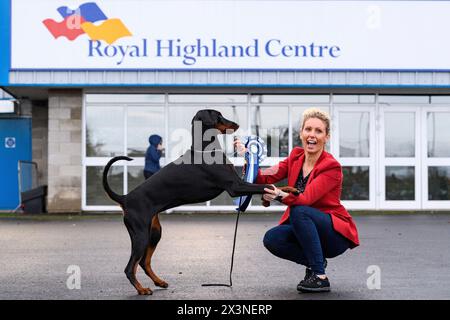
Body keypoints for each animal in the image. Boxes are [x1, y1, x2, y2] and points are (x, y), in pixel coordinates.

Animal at [103, 110, 276, 296]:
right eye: (218, 115)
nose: (236, 124)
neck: (206, 149)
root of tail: (125, 198)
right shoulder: (235, 187)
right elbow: (265, 186)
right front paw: (280, 193)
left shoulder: (238, 184)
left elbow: (265, 186)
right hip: (140, 234)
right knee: (130, 267)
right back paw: (142, 289)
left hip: (155, 232)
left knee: (143, 262)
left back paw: (159, 281)